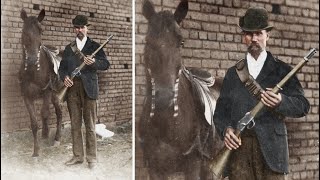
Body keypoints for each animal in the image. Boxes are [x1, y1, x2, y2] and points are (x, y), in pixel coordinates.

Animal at [18, 9, 63, 157]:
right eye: (24, 31)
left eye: (41, 30)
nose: (32, 60)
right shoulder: (27, 97)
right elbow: (34, 123)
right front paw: (36, 151)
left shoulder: (47, 92)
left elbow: (44, 113)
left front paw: (45, 134)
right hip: (56, 94)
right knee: (59, 112)